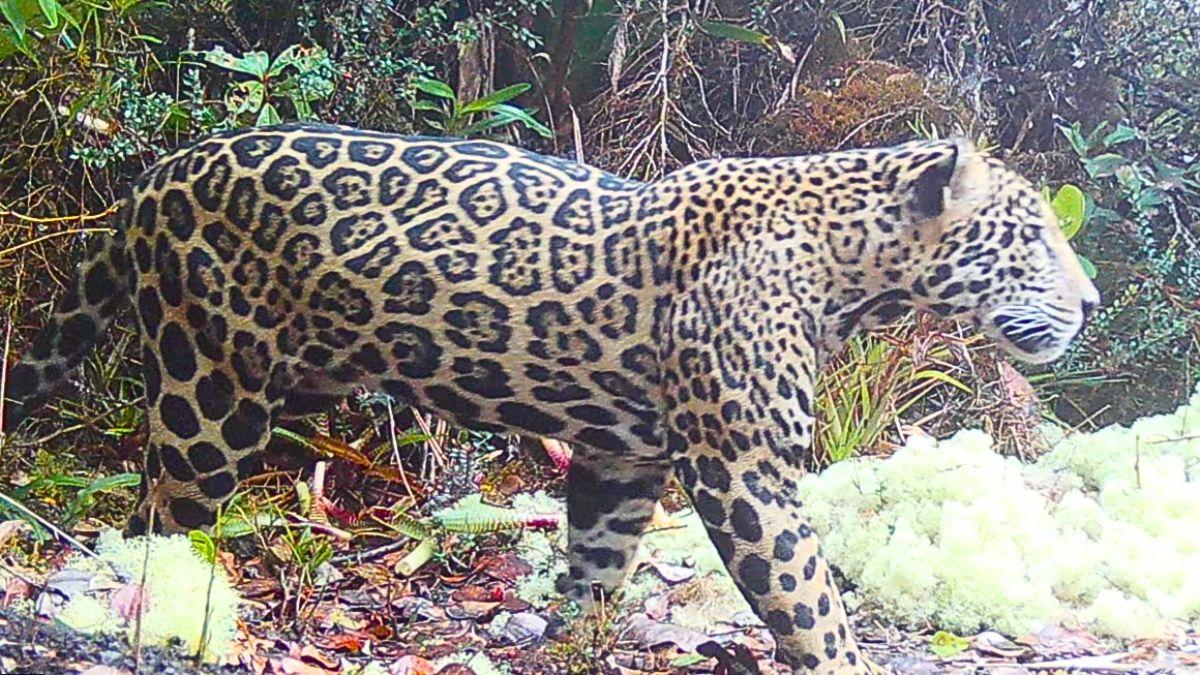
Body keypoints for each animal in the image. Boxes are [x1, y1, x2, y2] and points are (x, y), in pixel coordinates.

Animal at [2, 123, 1098, 673]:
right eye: (1034, 236)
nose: (1089, 303)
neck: (853, 269)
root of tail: (153, 176)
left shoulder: (623, 455)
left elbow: (599, 565)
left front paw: (573, 643)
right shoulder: (741, 467)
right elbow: (811, 600)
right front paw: (841, 660)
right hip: (210, 389)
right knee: (161, 519)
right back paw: (167, 616)